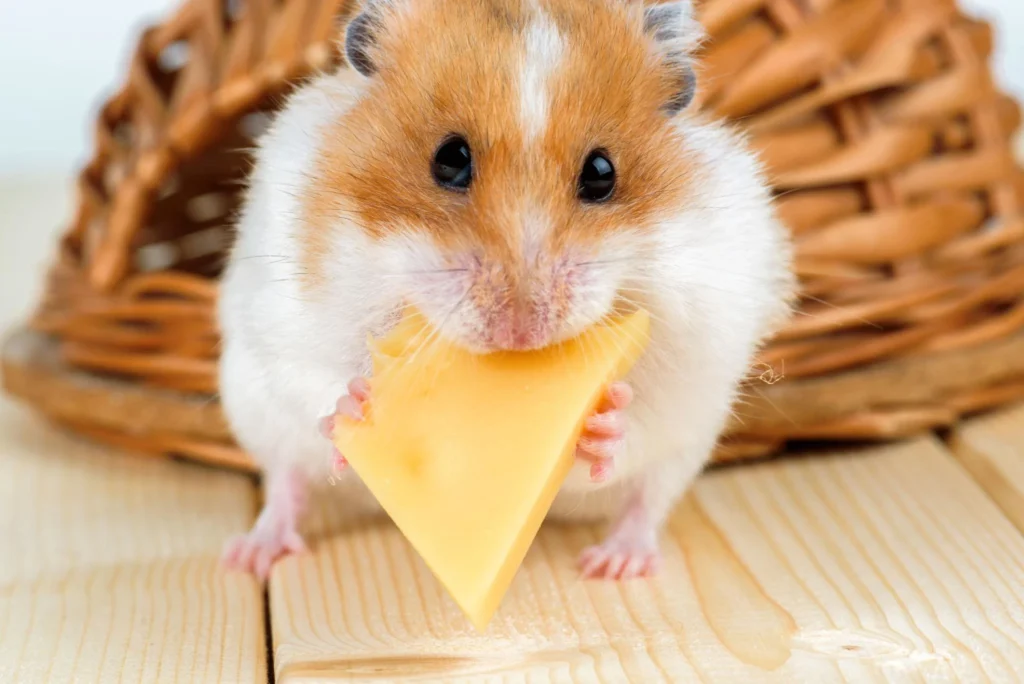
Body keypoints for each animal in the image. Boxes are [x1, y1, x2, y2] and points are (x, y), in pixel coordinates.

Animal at [218, 0, 794, 581]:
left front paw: (604, 422)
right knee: (286, 482)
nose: (518, 333)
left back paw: (615, 564)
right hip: (258, 415)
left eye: (602, 172)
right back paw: (250, 555)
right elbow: (319, 378)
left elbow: (637, 416)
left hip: (686, 447)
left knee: (645, 503)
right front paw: (356, 404)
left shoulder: (697, 342)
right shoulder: (289, 318)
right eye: (449, 159)